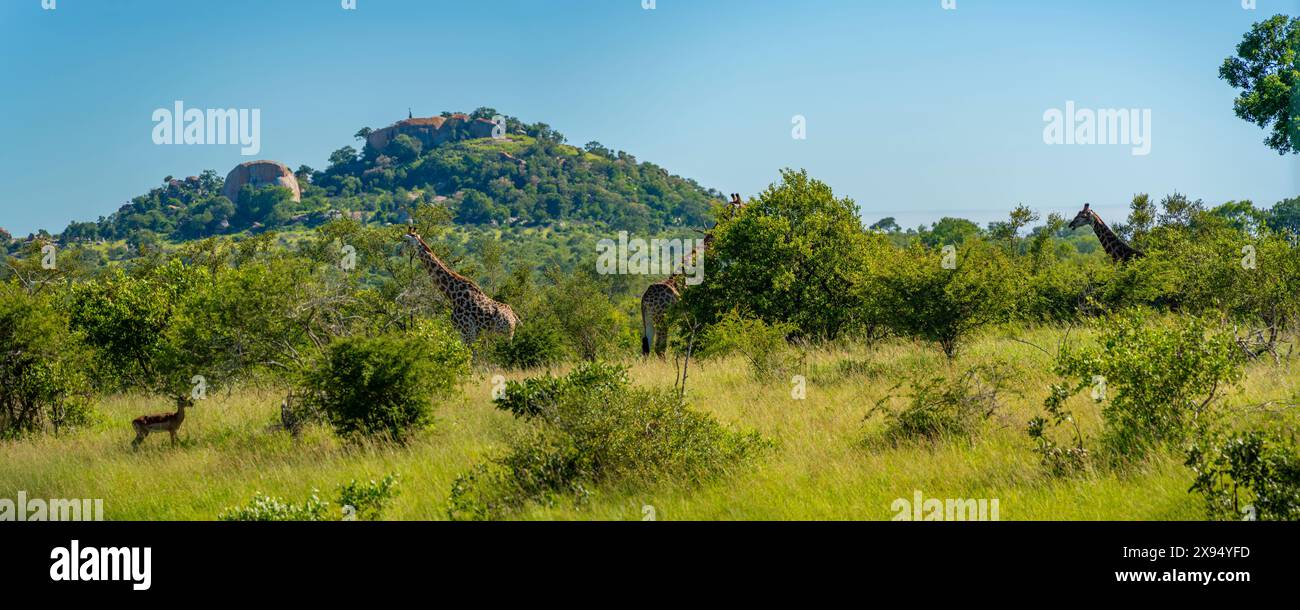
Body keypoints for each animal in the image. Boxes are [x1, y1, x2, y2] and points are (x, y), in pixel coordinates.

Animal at [640, 194, 744, 356]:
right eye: (743, 207)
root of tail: (645, 300)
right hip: (662, 320)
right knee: (660, 348)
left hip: (649, 320)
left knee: (646, 348)